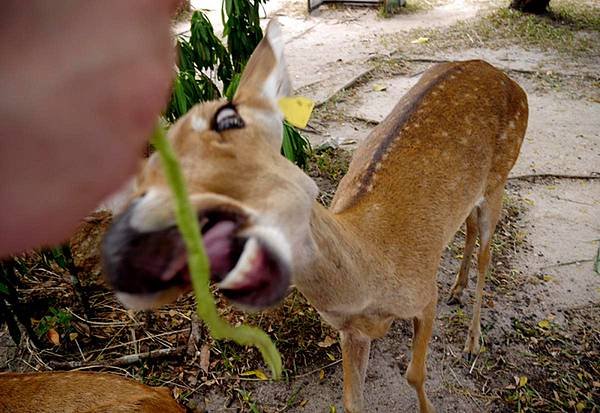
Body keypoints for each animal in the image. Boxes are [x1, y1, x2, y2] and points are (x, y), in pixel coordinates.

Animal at [101, 20, 528, 412]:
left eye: (229, 119)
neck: (373, 269)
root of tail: (505, 77)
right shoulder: (351, 332)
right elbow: (353, 402)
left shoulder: (423, 295)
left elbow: (415, 373)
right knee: (468, 226)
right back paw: (457, 288)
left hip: (501, 175)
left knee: (488, 250)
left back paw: (473, 340)